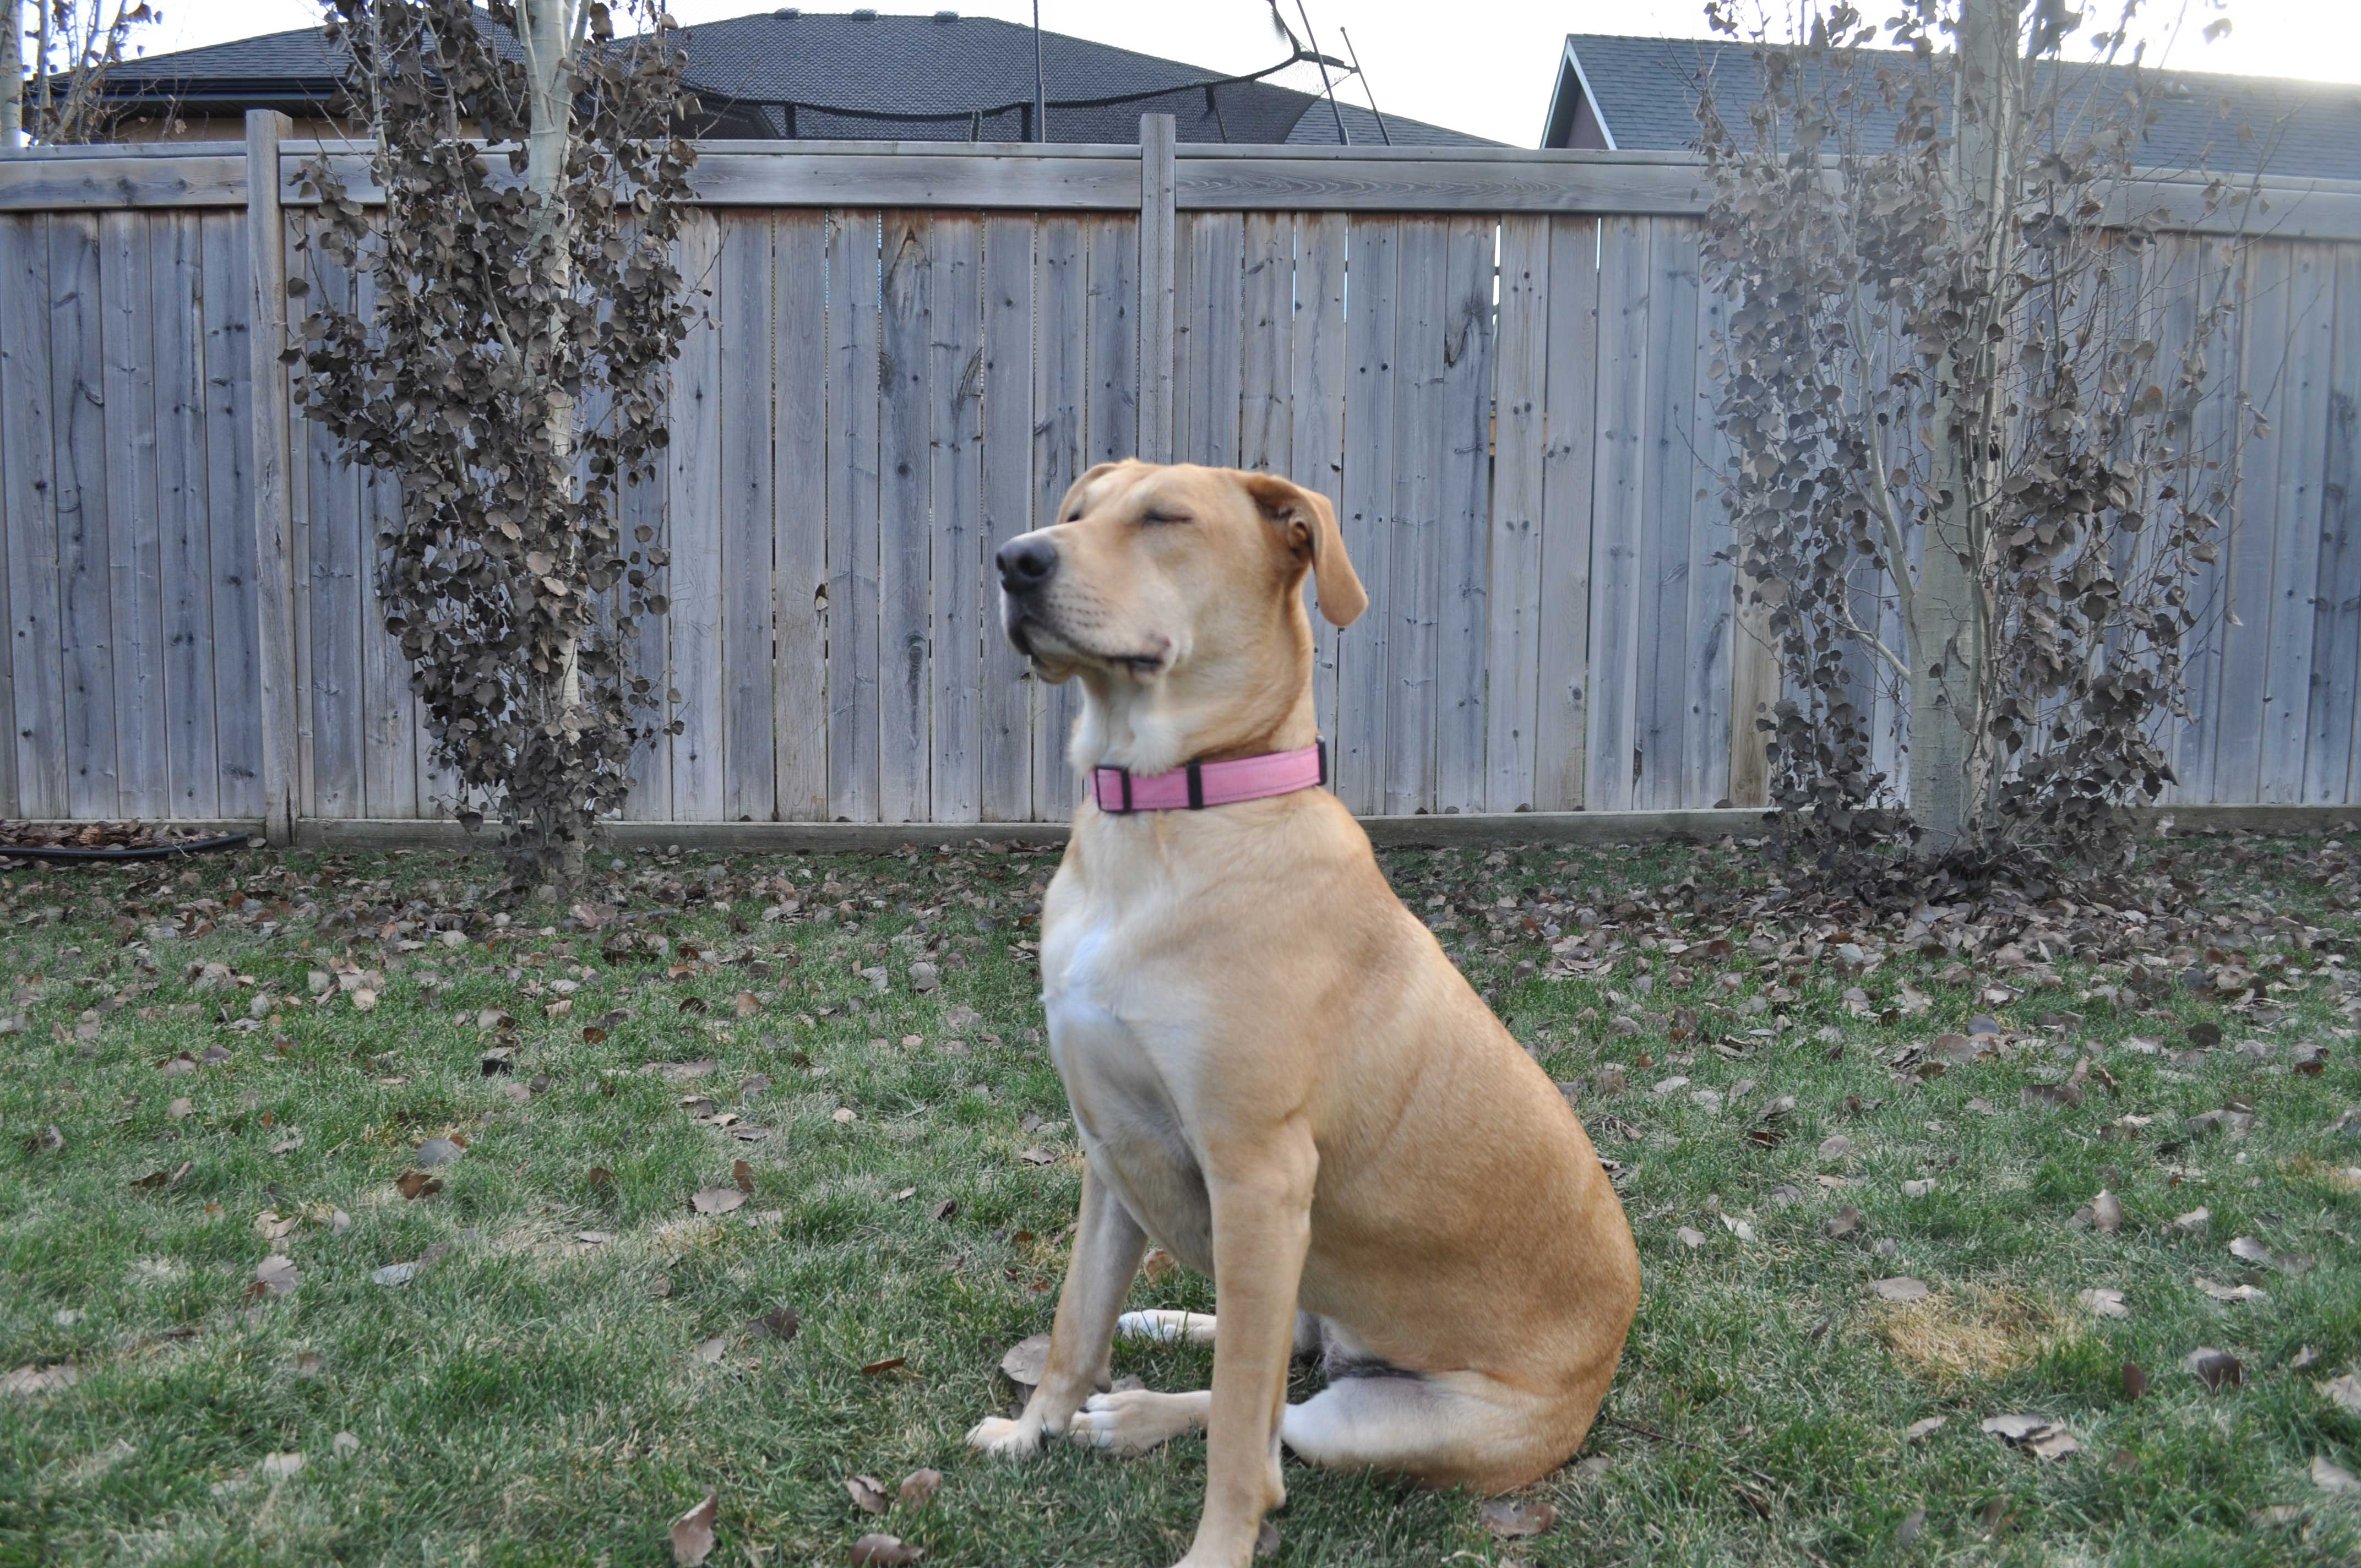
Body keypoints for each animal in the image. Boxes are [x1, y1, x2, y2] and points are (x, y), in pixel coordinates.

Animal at [968, 460, 1634, 1558]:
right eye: (1074, 513)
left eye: (1164, 518)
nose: (1015, 560)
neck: (1168, 816)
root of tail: (1604, 1370)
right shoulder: (1108, 1146)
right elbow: (1075, 1322)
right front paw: (1033, 1432)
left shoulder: (1259, 1176)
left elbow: (1243, 1427)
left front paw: (1214, 1550)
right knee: (1284, 1354)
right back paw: (1159, 1337)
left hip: (1381, 1406)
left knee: (1282, 1410)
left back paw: (1142, 1411)